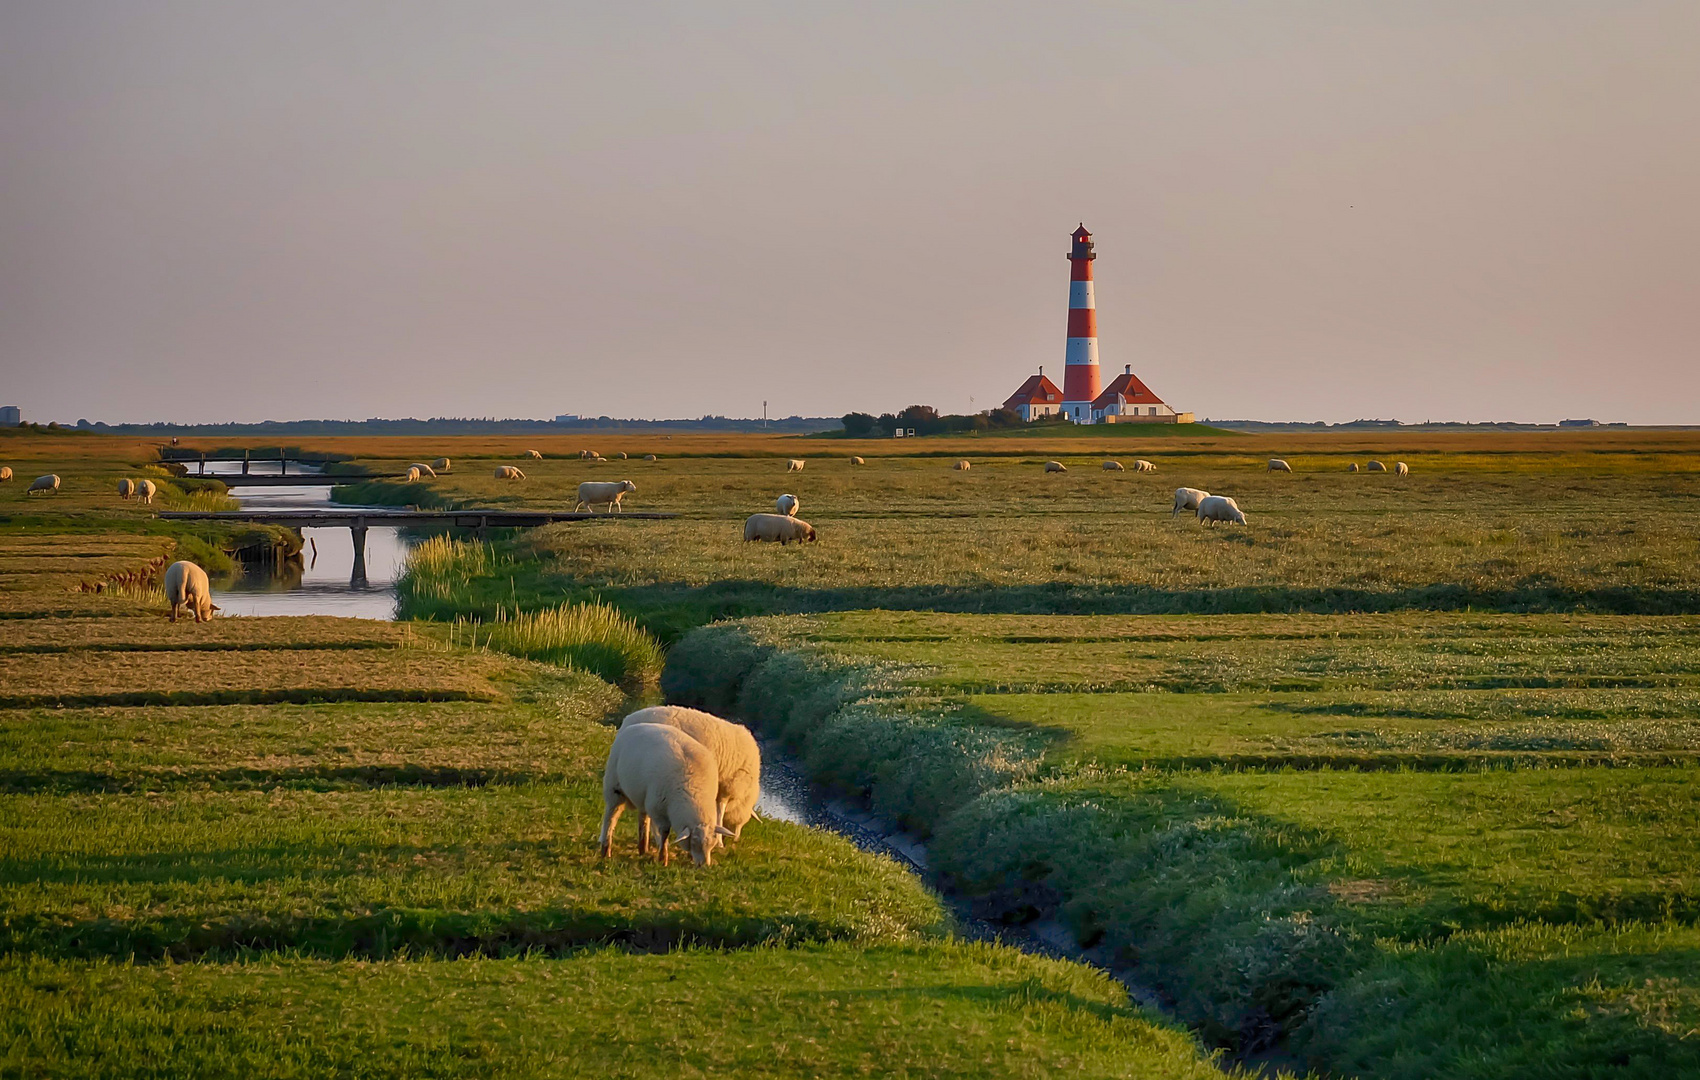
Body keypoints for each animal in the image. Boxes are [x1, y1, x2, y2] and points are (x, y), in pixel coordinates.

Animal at [601, 721, 727, 867]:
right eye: (694, 842)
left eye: (712, 844)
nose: (705, 866)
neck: (693, 790)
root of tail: (635, 725)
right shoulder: (659, 809)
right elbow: (665, 833)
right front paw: (663, 858)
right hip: (614, 787)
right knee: (611, 818)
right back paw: (606, 850)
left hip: (644, 796)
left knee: (643, 818)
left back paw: (643, 848)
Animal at [622, 704, 761, 850]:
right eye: (742, 822)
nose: (736, 839)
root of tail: (627, 721)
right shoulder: (728, 787)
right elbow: (720, 812)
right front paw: (720, 842)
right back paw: (659, 840)